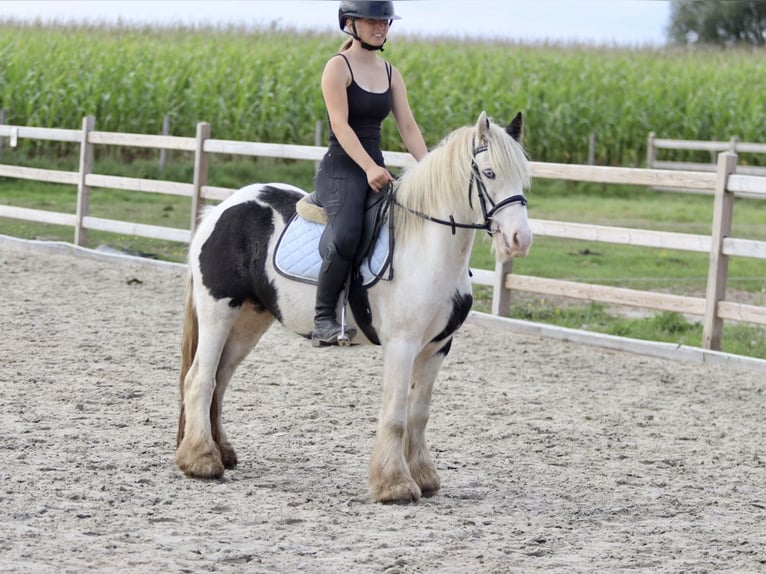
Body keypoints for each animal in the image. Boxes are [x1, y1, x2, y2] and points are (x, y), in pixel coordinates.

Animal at [176, 111, 536, 504]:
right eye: (489, 173)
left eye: (523, 176)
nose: (520, 240)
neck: (427, 248)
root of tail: (220, 210)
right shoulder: (402, 344)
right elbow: (395, 414)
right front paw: (394, 485)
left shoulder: (438, 347)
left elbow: (419, 413)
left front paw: (424, 477)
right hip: (218, 310)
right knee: (201, 378)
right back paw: (201, 461)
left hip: (250, 319)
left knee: (221, 378)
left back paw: (221, 452)